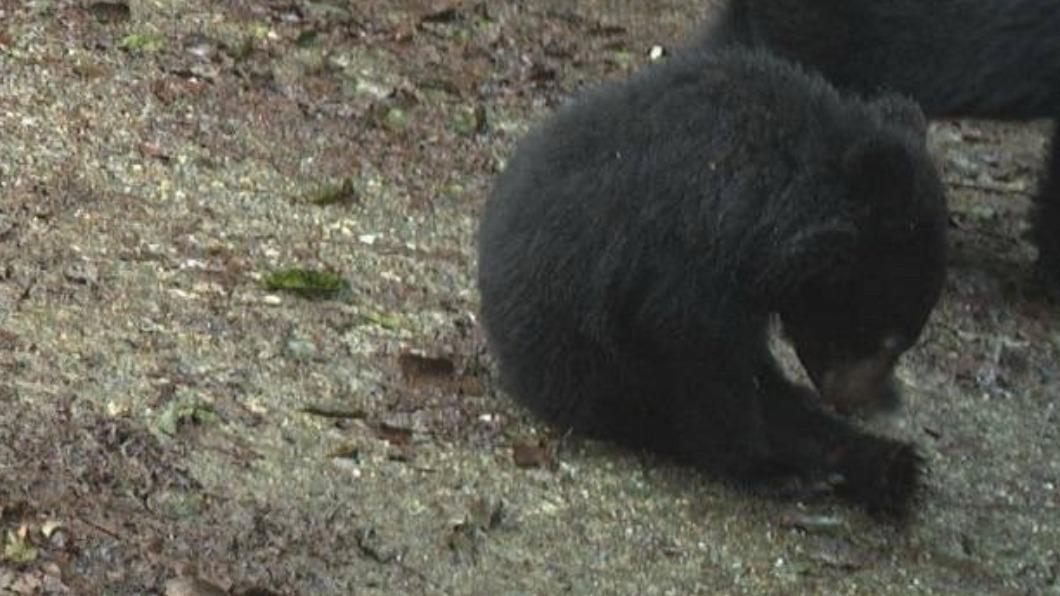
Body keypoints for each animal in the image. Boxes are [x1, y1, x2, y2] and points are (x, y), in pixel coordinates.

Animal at [477, 46, 948, 518]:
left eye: (901, 340)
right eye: (885, 336)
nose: (857, 399)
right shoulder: (683, 253)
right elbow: (694, 354)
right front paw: (769, 469)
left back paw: (890, 467)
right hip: (579, 363)